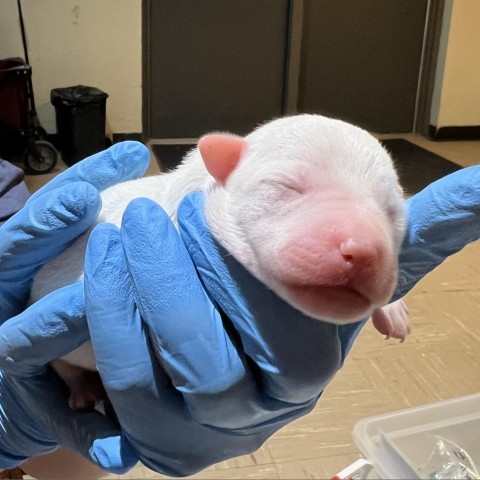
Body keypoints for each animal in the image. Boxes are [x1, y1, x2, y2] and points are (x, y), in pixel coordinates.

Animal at [31, 115, 408, 408]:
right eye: (286, 186)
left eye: (392, 211)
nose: (363, 249)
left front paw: (394, 313)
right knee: (63, 367)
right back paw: (83, 392)